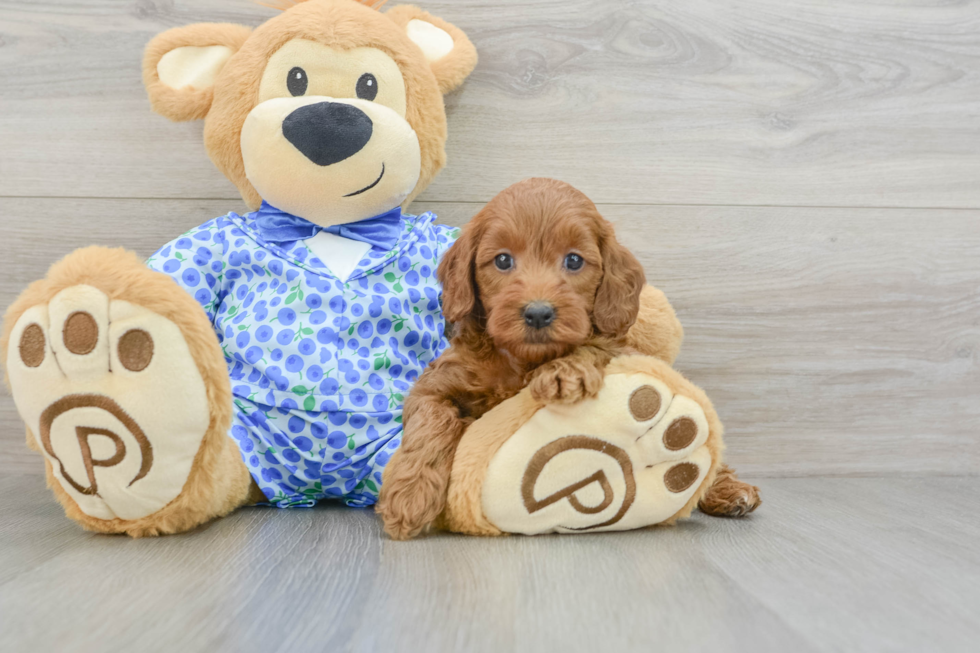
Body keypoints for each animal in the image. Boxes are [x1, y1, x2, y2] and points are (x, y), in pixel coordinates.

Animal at [376, 178, 644, 540]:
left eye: (574, 261)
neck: (520, 359)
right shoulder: (433, 384)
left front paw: (563, 372)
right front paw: (409, 495)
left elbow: (595, 345)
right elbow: (431, 420)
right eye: (503, 260)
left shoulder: (622, 349)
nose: (538, 313)